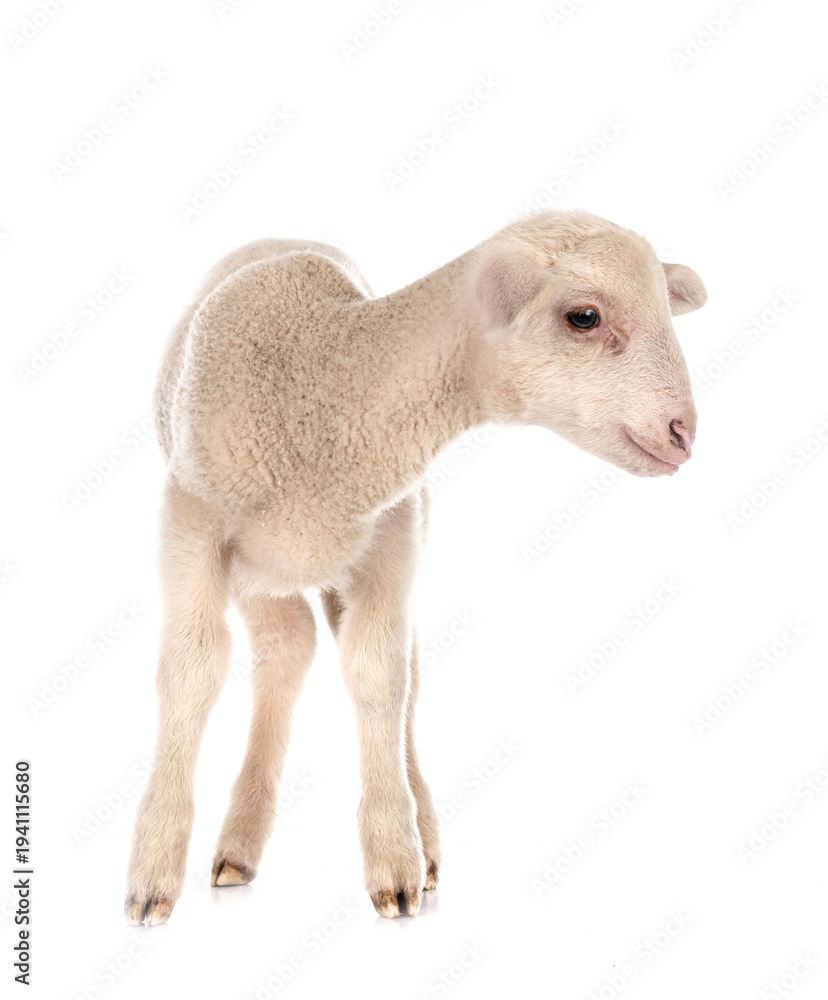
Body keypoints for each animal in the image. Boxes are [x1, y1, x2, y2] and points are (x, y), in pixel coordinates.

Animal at [125, 208, 706, 925]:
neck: (329, 382)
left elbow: (381, 677)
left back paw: (405, 837)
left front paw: (396, 862)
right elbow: (191, 674)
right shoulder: (191, 520)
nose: (684, 431)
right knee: (286, 646)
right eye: (584, 317)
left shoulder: (395, 533)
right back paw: (238, 846)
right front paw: (152, 875)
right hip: (263, 564)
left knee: (374, 663)